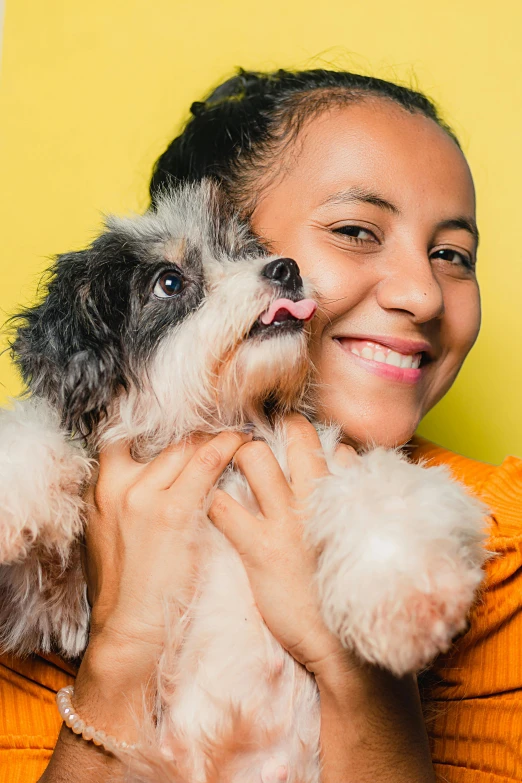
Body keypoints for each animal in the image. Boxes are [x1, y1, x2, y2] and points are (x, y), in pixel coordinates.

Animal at [0, 181, 486, 780]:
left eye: (245, 250)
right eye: (169, 282)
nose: (286, 268)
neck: (222, 430)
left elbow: (387, 489)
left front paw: (400, 591)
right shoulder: (48, 601)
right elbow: (42, 424)